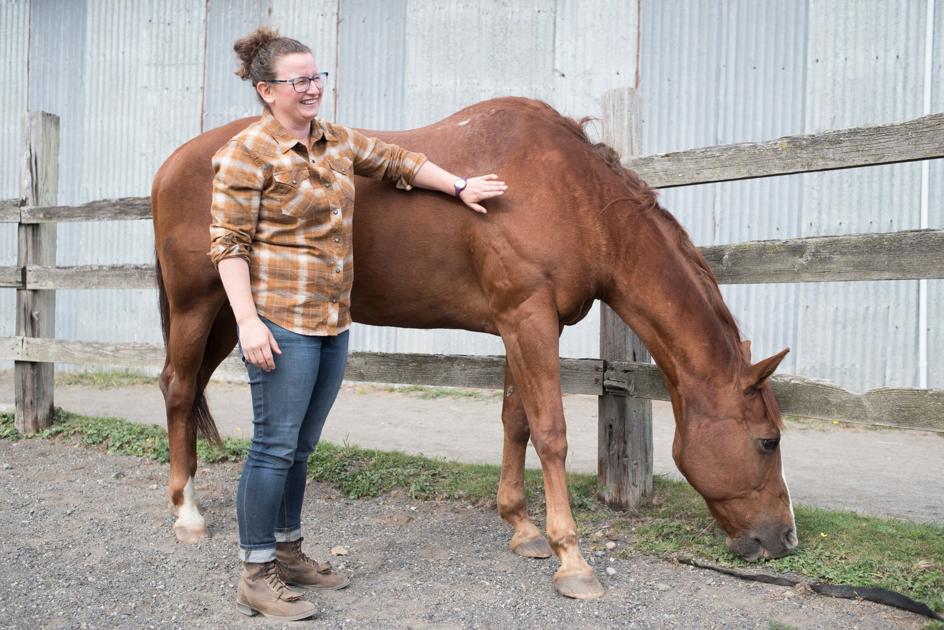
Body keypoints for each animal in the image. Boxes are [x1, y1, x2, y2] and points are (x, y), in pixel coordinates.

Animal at [152, 96, 796, 600]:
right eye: (768, 441)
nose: (784, 539)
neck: (575, 198)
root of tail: (171, 165)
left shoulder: (524, 324)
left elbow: (517, 421)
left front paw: (523, 529)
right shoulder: (530, 319)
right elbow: (552, 432)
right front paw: (571, 559)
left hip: (231, 317)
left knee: (189, 387)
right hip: (196, 305)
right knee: (179, 389)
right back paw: (187, 514)